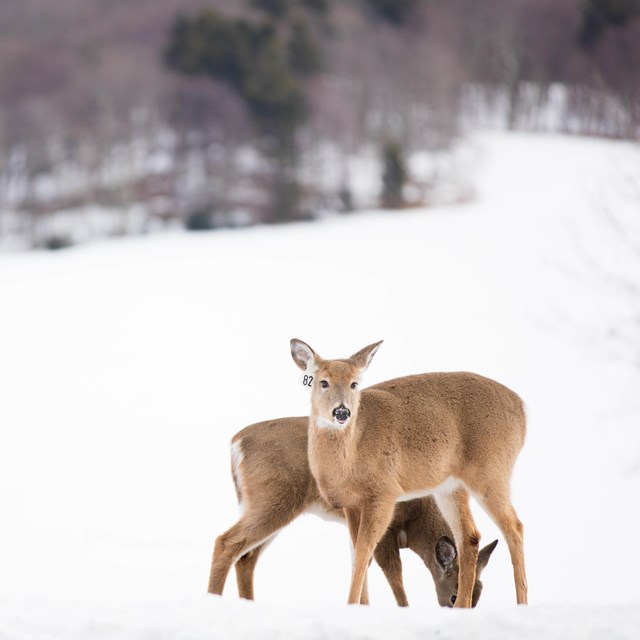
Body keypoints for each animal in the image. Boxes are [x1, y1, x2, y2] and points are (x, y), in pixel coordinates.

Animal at [208, 418, 498, 608]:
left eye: (479, 595)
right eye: (454, 595)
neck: (418, 518)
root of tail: (237, 443)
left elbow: (360, 561)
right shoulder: (386, 527)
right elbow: (392, 571)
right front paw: (402, 608)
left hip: (267, 504)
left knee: (246, 557)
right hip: (273, 499)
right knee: (226, 543)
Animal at [292, 338, 528, 608]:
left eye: (354, 383)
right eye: (323, 382)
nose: (342, 412)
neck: (349, 460)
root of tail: (523, 410)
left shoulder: (383, 494)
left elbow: (364, 552)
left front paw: (352, 604)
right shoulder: (351, 505)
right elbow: (358, 554)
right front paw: (361, 606)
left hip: (492, 472)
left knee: (514, 527)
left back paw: (521, 602)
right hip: (451, 487)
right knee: (469, 536)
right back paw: (463, 605)